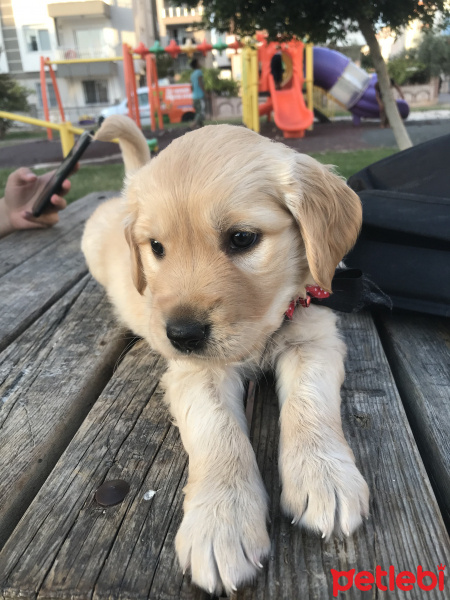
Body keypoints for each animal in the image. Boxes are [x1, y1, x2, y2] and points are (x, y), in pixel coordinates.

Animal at [81, 116, 370, 596]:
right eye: (155, 247)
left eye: (242, 238)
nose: (181, 335)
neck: (263, 328)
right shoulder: (195, 372)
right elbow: (219, 432)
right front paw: (222, 522)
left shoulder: (315, 338)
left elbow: (311, 405)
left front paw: (325, 476)